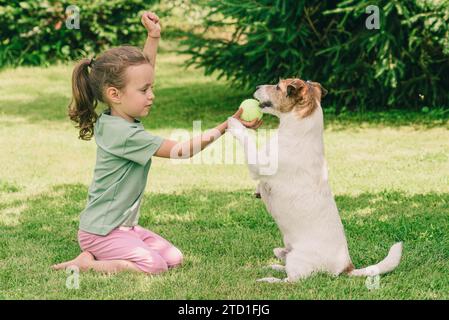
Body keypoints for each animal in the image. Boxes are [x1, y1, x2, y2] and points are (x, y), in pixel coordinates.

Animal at [228, 77, 402, 282]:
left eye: (278, 86)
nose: (256, 86)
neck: (298, 130)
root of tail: (346, 266)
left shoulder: (259, 164)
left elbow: (247, 140)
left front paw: (234, 124)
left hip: (298, 260)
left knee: (291, 281)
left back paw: (270, 280)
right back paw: (274, 266)